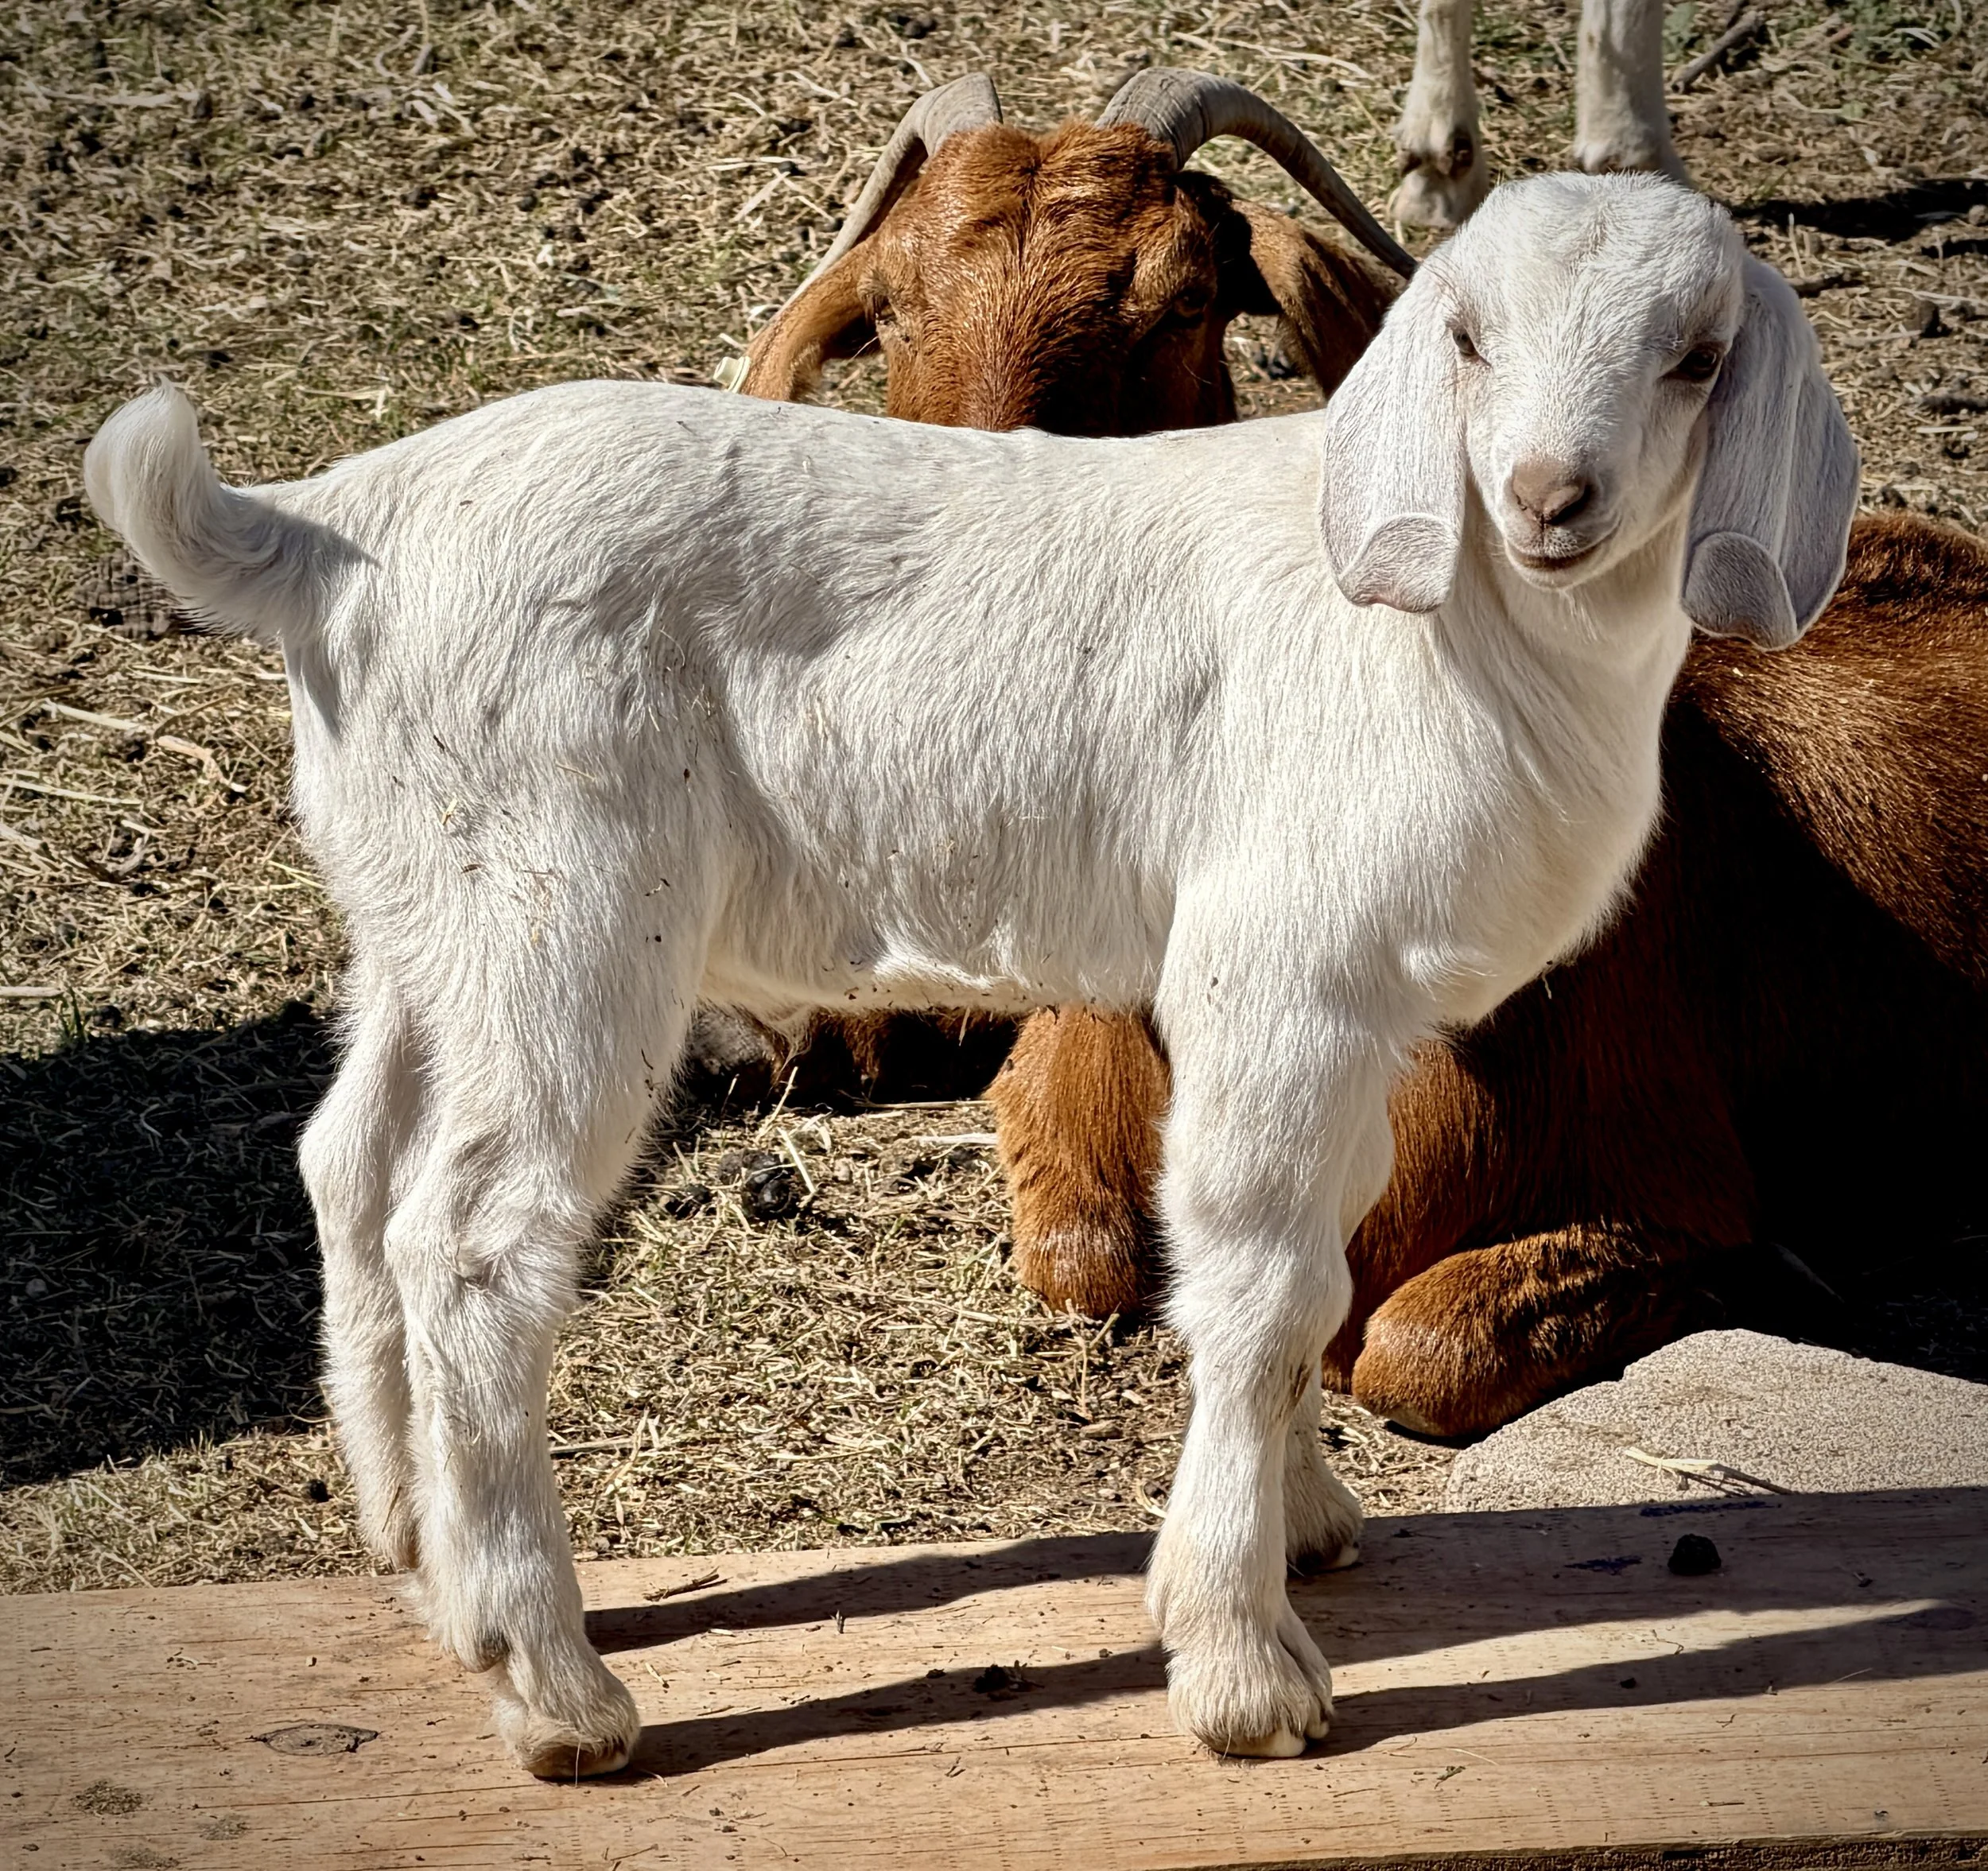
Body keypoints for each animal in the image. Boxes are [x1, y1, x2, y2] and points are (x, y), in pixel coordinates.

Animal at [85, 173, 1855, 1772]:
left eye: (1698, 356)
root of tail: (337, 538)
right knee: (472, 1239)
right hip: (562, 906)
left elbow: (1327, 1259)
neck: (1463, 631)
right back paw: (558, 1688)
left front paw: (1305, 1522)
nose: (1551, 498)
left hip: (423, 908)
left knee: (353, 1165)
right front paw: (1240, 1662)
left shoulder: (1355, 1009)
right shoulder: (1281, 966)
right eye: (1468, 339)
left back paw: (424, 1559)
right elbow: (1269, 1280)